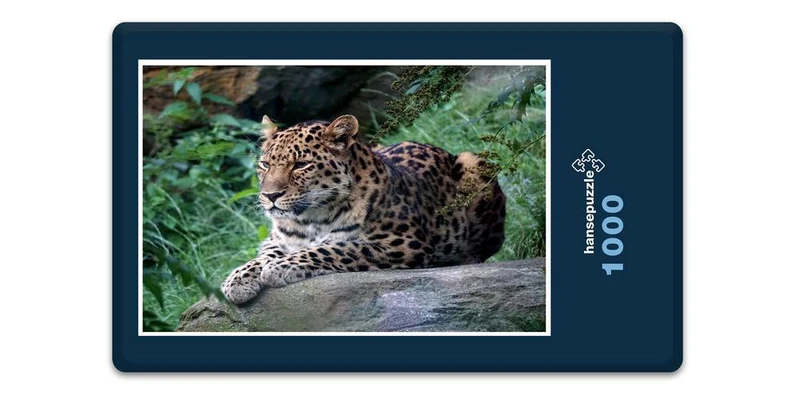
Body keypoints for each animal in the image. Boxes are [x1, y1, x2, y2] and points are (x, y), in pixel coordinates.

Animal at [221, 114, 506, 305]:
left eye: (301, 165)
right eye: (265, 165)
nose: (270, 196)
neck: (310, 218)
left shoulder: (402, 243)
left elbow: (335, 249)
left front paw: (281, 267)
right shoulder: (277, 239)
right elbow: (262, 256)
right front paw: (236, 280)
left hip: (474, 164)